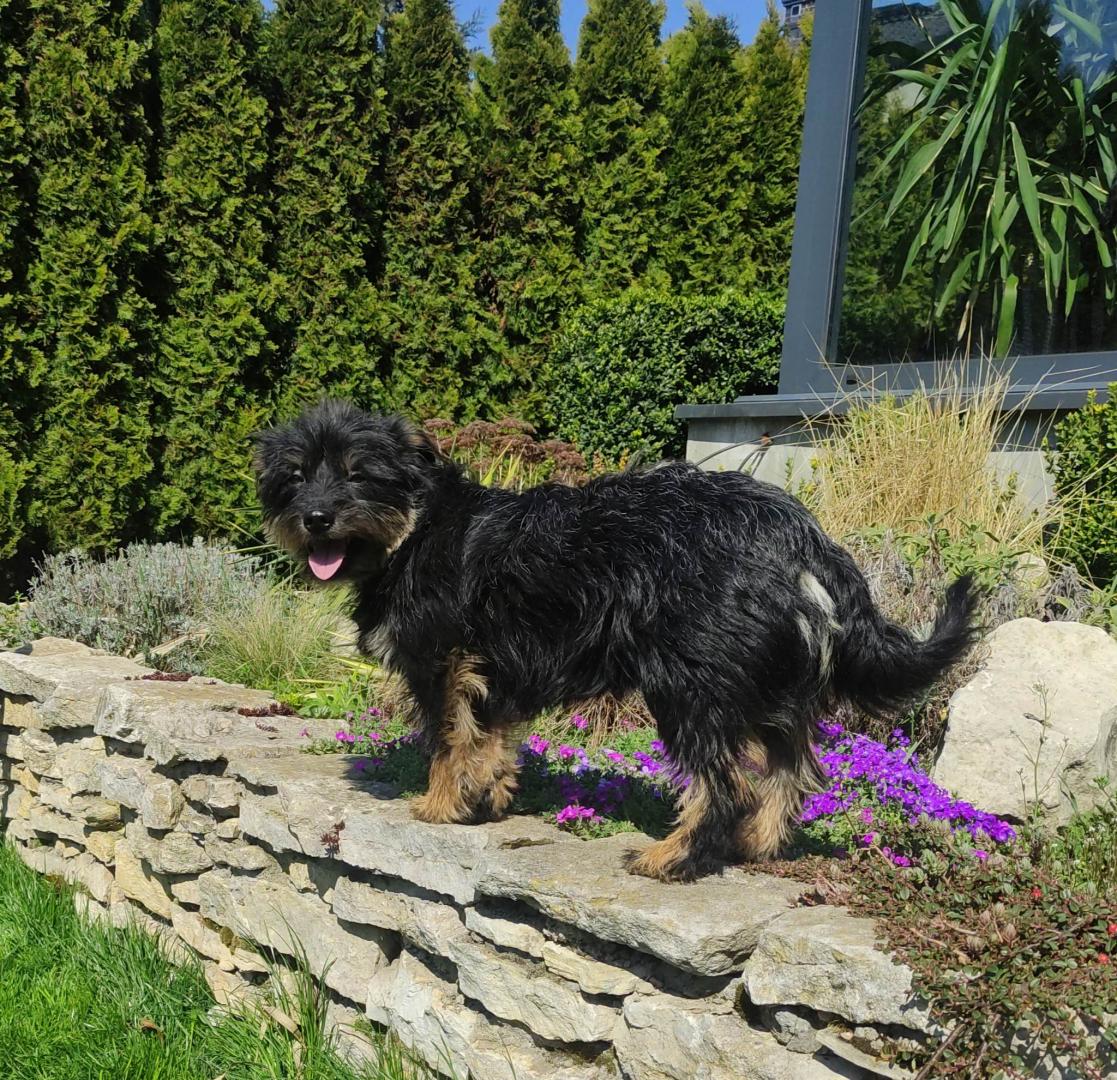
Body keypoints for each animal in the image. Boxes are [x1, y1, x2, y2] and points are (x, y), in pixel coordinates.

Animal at [253, 400, 977, 882]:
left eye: (357, 473)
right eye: (295, 476)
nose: (315, 517)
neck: (417, 526)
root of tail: (798, 532)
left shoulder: (443, 664)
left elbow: (449, 741)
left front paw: (437, 804)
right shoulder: (494, 668)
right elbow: (489, 740)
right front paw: (488, 798)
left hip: (689, 684)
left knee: (725, 784)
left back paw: (673, 857)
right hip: (768, 686)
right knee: (789, 770)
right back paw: (757, 845)